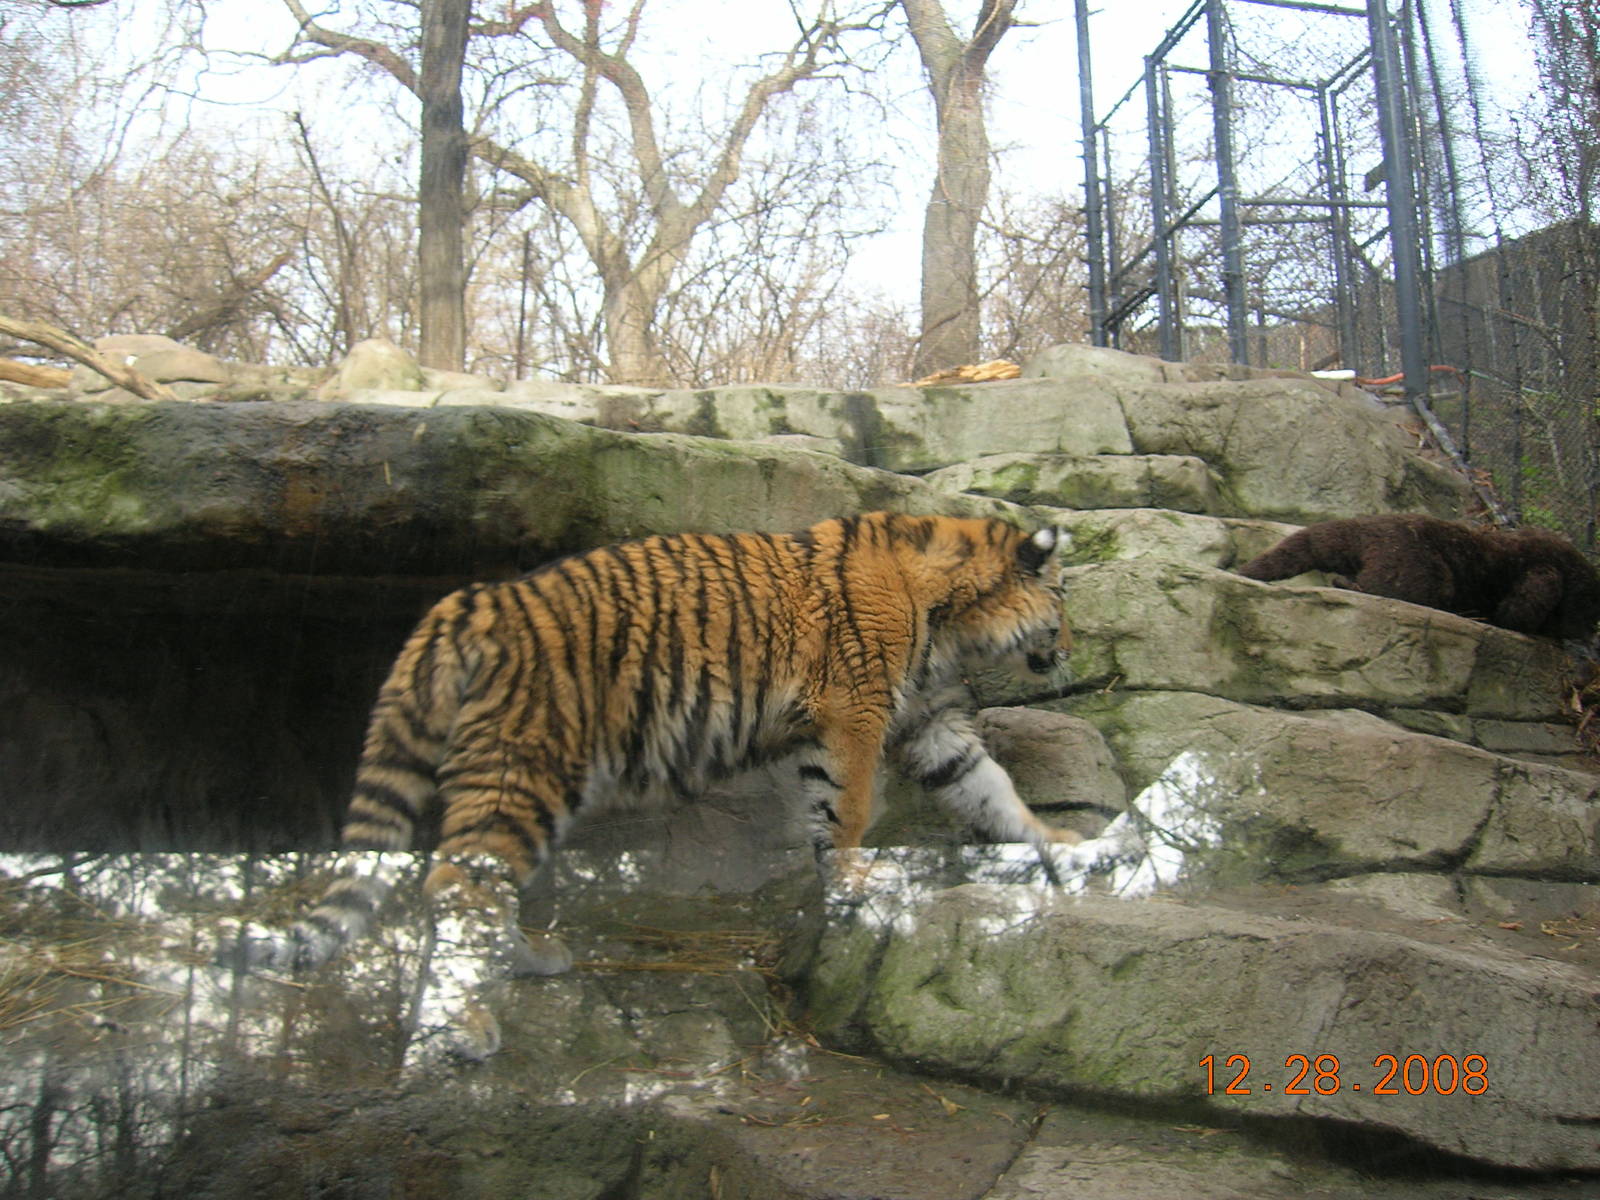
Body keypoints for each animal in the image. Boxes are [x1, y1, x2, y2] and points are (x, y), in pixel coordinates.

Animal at [235, 511, 1077, 991]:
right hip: (524, 767)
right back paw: (480, 1021)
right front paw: (852, 883)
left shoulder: (922, 722)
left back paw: (528, 959)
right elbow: (848, 810)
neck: (953, 618)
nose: (1071, 648)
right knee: (455, 883)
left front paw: (1064, 843)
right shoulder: (853, 716)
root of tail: (472, 600)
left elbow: (988, 787)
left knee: (470, 879)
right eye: (1063, 599)